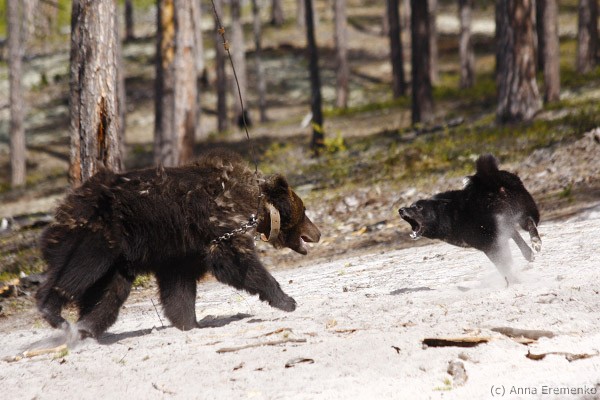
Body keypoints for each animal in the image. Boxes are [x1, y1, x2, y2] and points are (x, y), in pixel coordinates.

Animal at [36, 149, 321, 339]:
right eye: (305, 210)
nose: (317, 233)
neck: (254, 205)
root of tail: (65, 204)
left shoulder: (182, 251)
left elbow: (178, 287)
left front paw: (189, 322)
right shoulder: (218, 223)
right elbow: (236, 262)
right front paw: (286, 300)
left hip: (118, 261)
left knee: (108, 293)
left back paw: (86, 328)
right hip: (97, 234)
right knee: (78, 269)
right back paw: (53, 312)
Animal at [398, 154, 541, 281]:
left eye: (418, 207)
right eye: (411, 206)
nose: (400, 210)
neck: (448, 214)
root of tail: (489, 180)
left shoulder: (490, 244)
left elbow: (503, 265)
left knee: (522, 228)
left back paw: (532, 247)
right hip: (519, 211)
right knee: (527, 224)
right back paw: (533, 245)